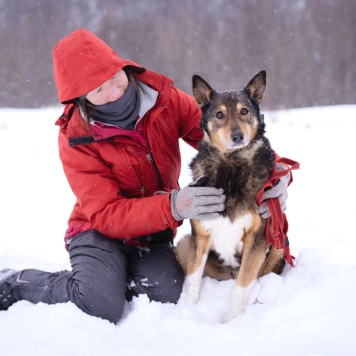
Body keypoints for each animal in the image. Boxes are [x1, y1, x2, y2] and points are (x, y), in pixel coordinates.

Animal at [177, 69, 286, 322]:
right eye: (219, 115)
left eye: (244, 111)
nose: (237, 136)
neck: (231, 164)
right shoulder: (200, 236)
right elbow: (193, 284)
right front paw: (189, 315)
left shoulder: (258, 237)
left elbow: (242, 286)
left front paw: (230, 322)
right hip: (184, 243)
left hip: (278, 240)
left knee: (259, 278)